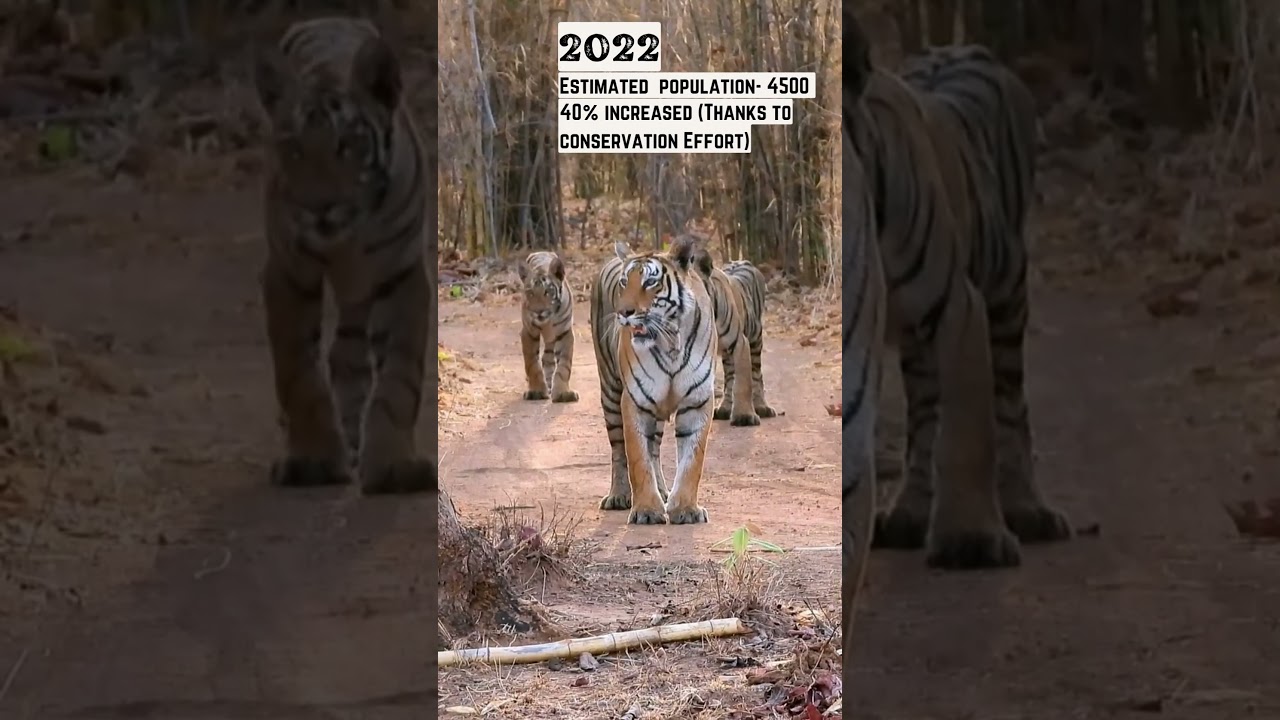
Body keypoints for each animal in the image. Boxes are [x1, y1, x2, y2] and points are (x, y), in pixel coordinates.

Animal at [252, 16, 435, 495]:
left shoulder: (401, 274)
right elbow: (298, 372)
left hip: (360, 291)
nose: (319, 208)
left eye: (347, 145)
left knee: (348, 355)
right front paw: (312, 459)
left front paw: (393, 466)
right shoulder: (288, 272)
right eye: (293, 148)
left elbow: (399, 378)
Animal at [517, 250, 579, 403]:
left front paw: (563, 393)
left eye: (547, 292)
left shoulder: (565, 332)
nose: (538, 311)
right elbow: (532, 364)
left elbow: (564, 365)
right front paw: (537, 391)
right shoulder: (529, 332)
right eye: (530, 293)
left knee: (548, 358)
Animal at [589, 236, 717, 525]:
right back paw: (619, 496)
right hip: (611, 391)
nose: (623, 312)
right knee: (618, 450)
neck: (670, 343)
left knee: (655, 448)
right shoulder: (634, 401)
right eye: (625, 282)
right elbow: (637, 458)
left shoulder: (697, 401)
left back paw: (662, 489)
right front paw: (647, 510)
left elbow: (692, 460)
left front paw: (685, 509)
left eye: (650, 282)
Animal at [703, 258, 782, 426]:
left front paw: (744, 416)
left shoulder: (740, 342)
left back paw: (762, 407)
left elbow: (743, 382)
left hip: (755, 339)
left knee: (756, 375)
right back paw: (725, 409)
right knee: (729, 378)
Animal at [844, 10, 1072, 569]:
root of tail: (964, 46)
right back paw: (908, 514)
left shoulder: (957, 306)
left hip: (1006, 293)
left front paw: (971, 538)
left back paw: (1028, 511)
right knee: (924, 419)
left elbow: (968, 432)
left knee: (1010, 408)